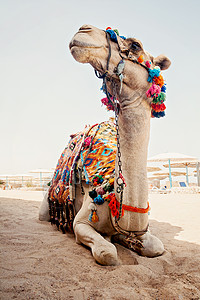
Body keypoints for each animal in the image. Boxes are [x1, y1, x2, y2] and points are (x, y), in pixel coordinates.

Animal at [39, 25, 170, 264]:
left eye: (135, 45)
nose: (83, 30)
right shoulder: (81, 222)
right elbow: (106, 252)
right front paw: (112, 241)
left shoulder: (143, 230)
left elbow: (156, 247)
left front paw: (130, 242)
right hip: (46, 204)